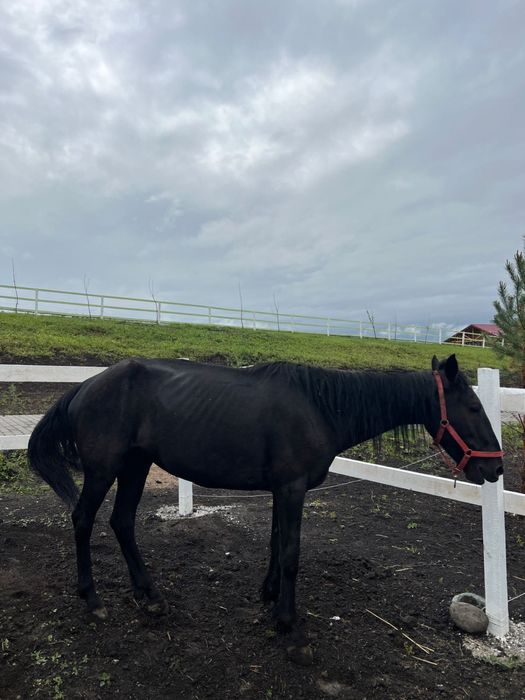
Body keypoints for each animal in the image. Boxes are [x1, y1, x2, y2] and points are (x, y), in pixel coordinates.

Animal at [28, 354, 503, 641]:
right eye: (474, 408)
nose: (495, 468)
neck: (320, 407)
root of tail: (85, 386)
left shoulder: (282, 489)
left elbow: (276, 545)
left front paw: (270, 595)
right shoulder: (292, 489)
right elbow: (291, 553)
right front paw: (288, 624)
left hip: (136, 466)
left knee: (122, 522)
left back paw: (150, 595)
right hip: (104, 470)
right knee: (83, 520)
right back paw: (92, 599)